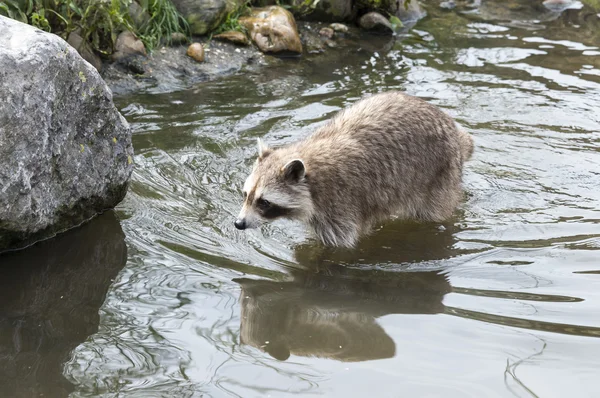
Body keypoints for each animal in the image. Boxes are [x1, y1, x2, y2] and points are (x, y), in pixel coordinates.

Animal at [234, 91, 474, 247]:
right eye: (246, 195)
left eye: (264, 202)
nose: (238, 224)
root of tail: (452, 128)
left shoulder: (341, 202)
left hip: (439, 173)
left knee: (435, 212)